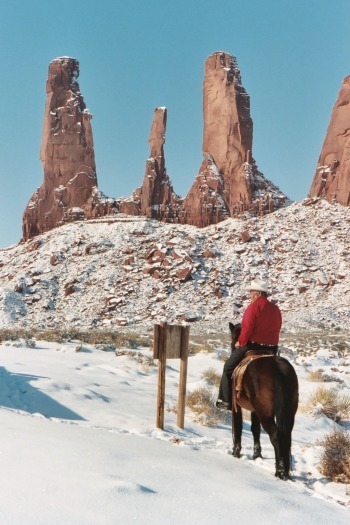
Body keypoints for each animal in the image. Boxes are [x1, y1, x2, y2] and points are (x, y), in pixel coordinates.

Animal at [230, 320, 298, 478]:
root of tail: (279, 368)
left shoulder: (237, 406)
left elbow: (238, 427)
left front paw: (236, 452)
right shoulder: (254, 410)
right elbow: (255, 429)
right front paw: (257, 455)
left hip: (265, 413)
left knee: (275, 435)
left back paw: (279, 471)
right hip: (288, 412)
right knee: (286, 436)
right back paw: (285, 472)